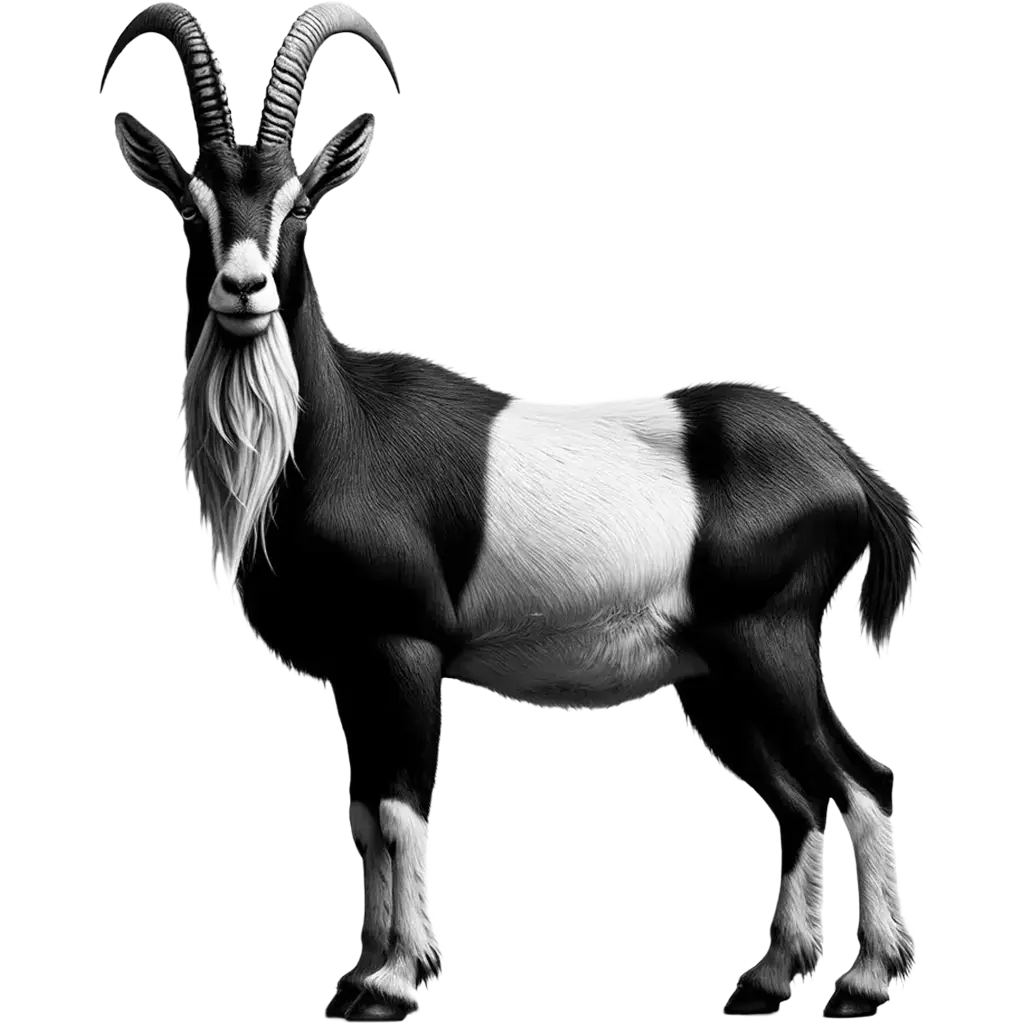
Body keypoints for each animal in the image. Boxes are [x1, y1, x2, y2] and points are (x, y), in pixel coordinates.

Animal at [99, 3, 919, 1019]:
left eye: (300, 201)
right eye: (193, 202)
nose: (243, 290)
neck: (334, 434)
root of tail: (850, 469)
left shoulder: (404, 654)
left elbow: (401, 808)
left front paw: (398, 980)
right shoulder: (352, 673)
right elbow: (360, 812)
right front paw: (355, 976)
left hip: (768, 647)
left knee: (859, 781)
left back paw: (864, 980)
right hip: (713, 681)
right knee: (800, 800)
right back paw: (767, 978)